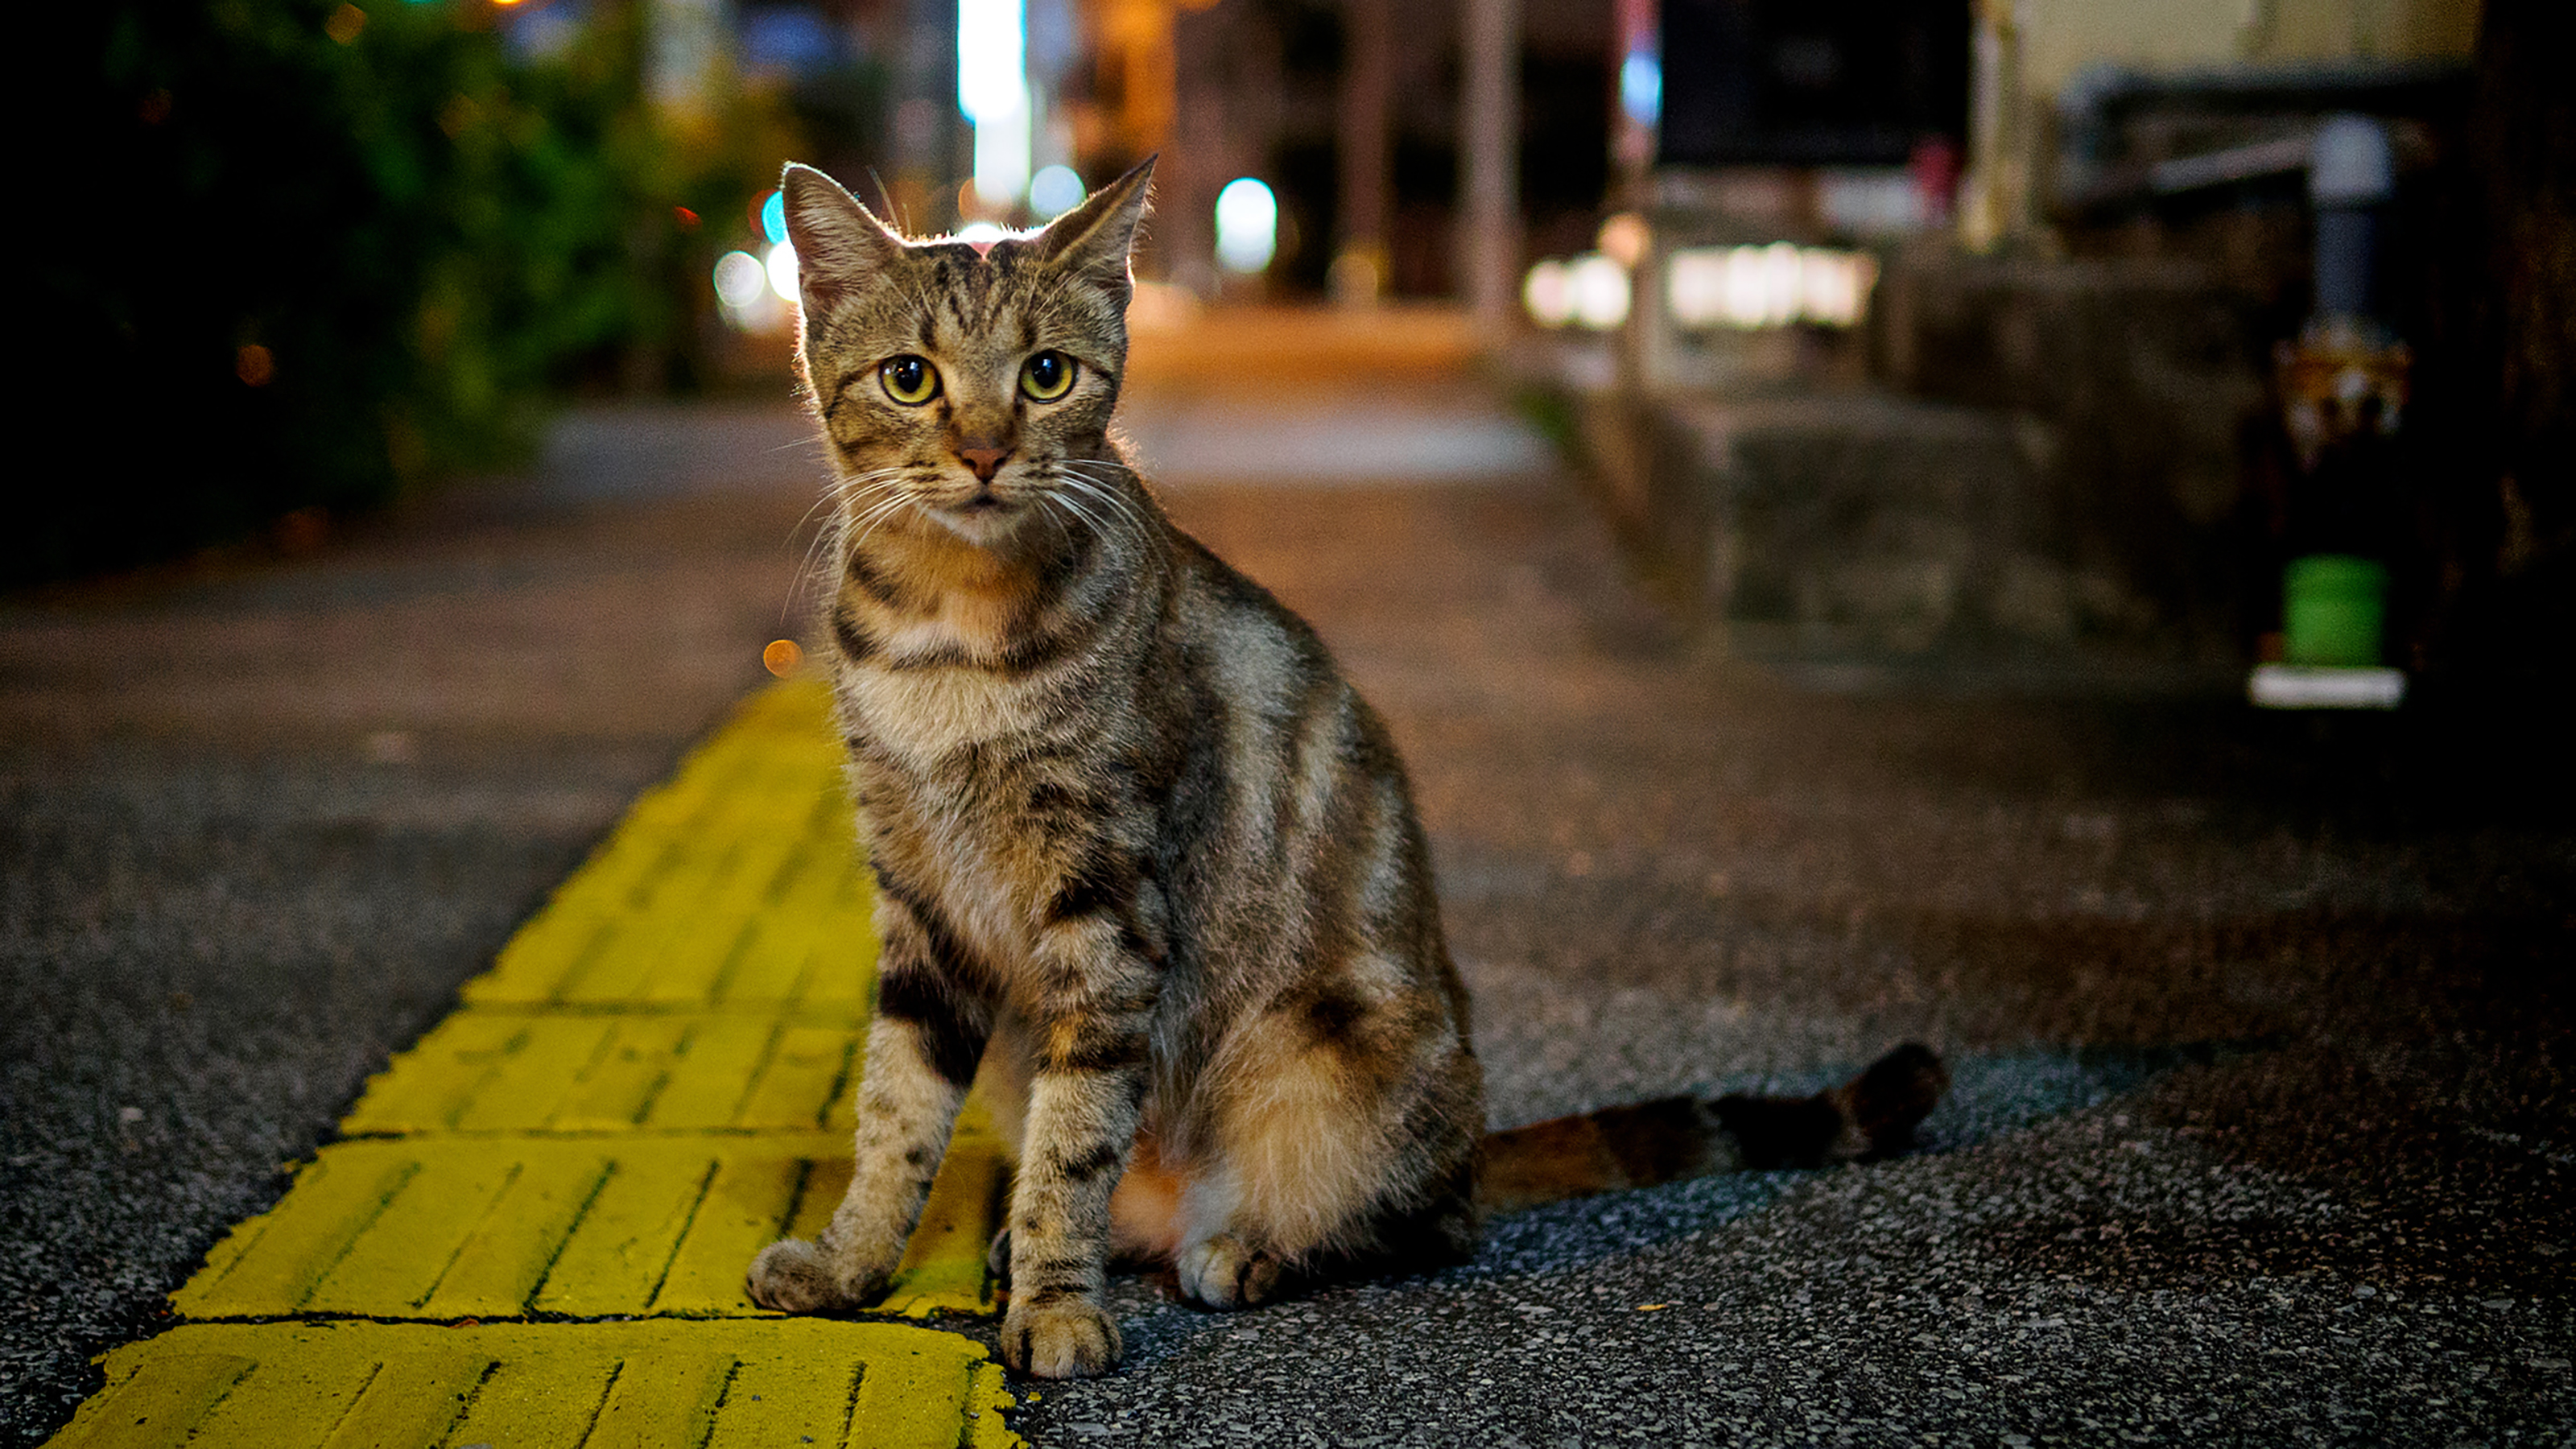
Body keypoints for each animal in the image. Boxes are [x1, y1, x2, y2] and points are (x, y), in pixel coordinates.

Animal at [737, 160, 1937, 1371]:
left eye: (1045, 374)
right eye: (909, 378)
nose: (984, 452)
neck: (947, 638)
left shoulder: (1107, 909)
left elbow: (1073, 1140)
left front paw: (1057, 1304)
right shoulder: (919, 902)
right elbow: (895, 1109)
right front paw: (851, 1262)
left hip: (1331, 1063)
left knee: (1422, 1225)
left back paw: (1246, 1249)